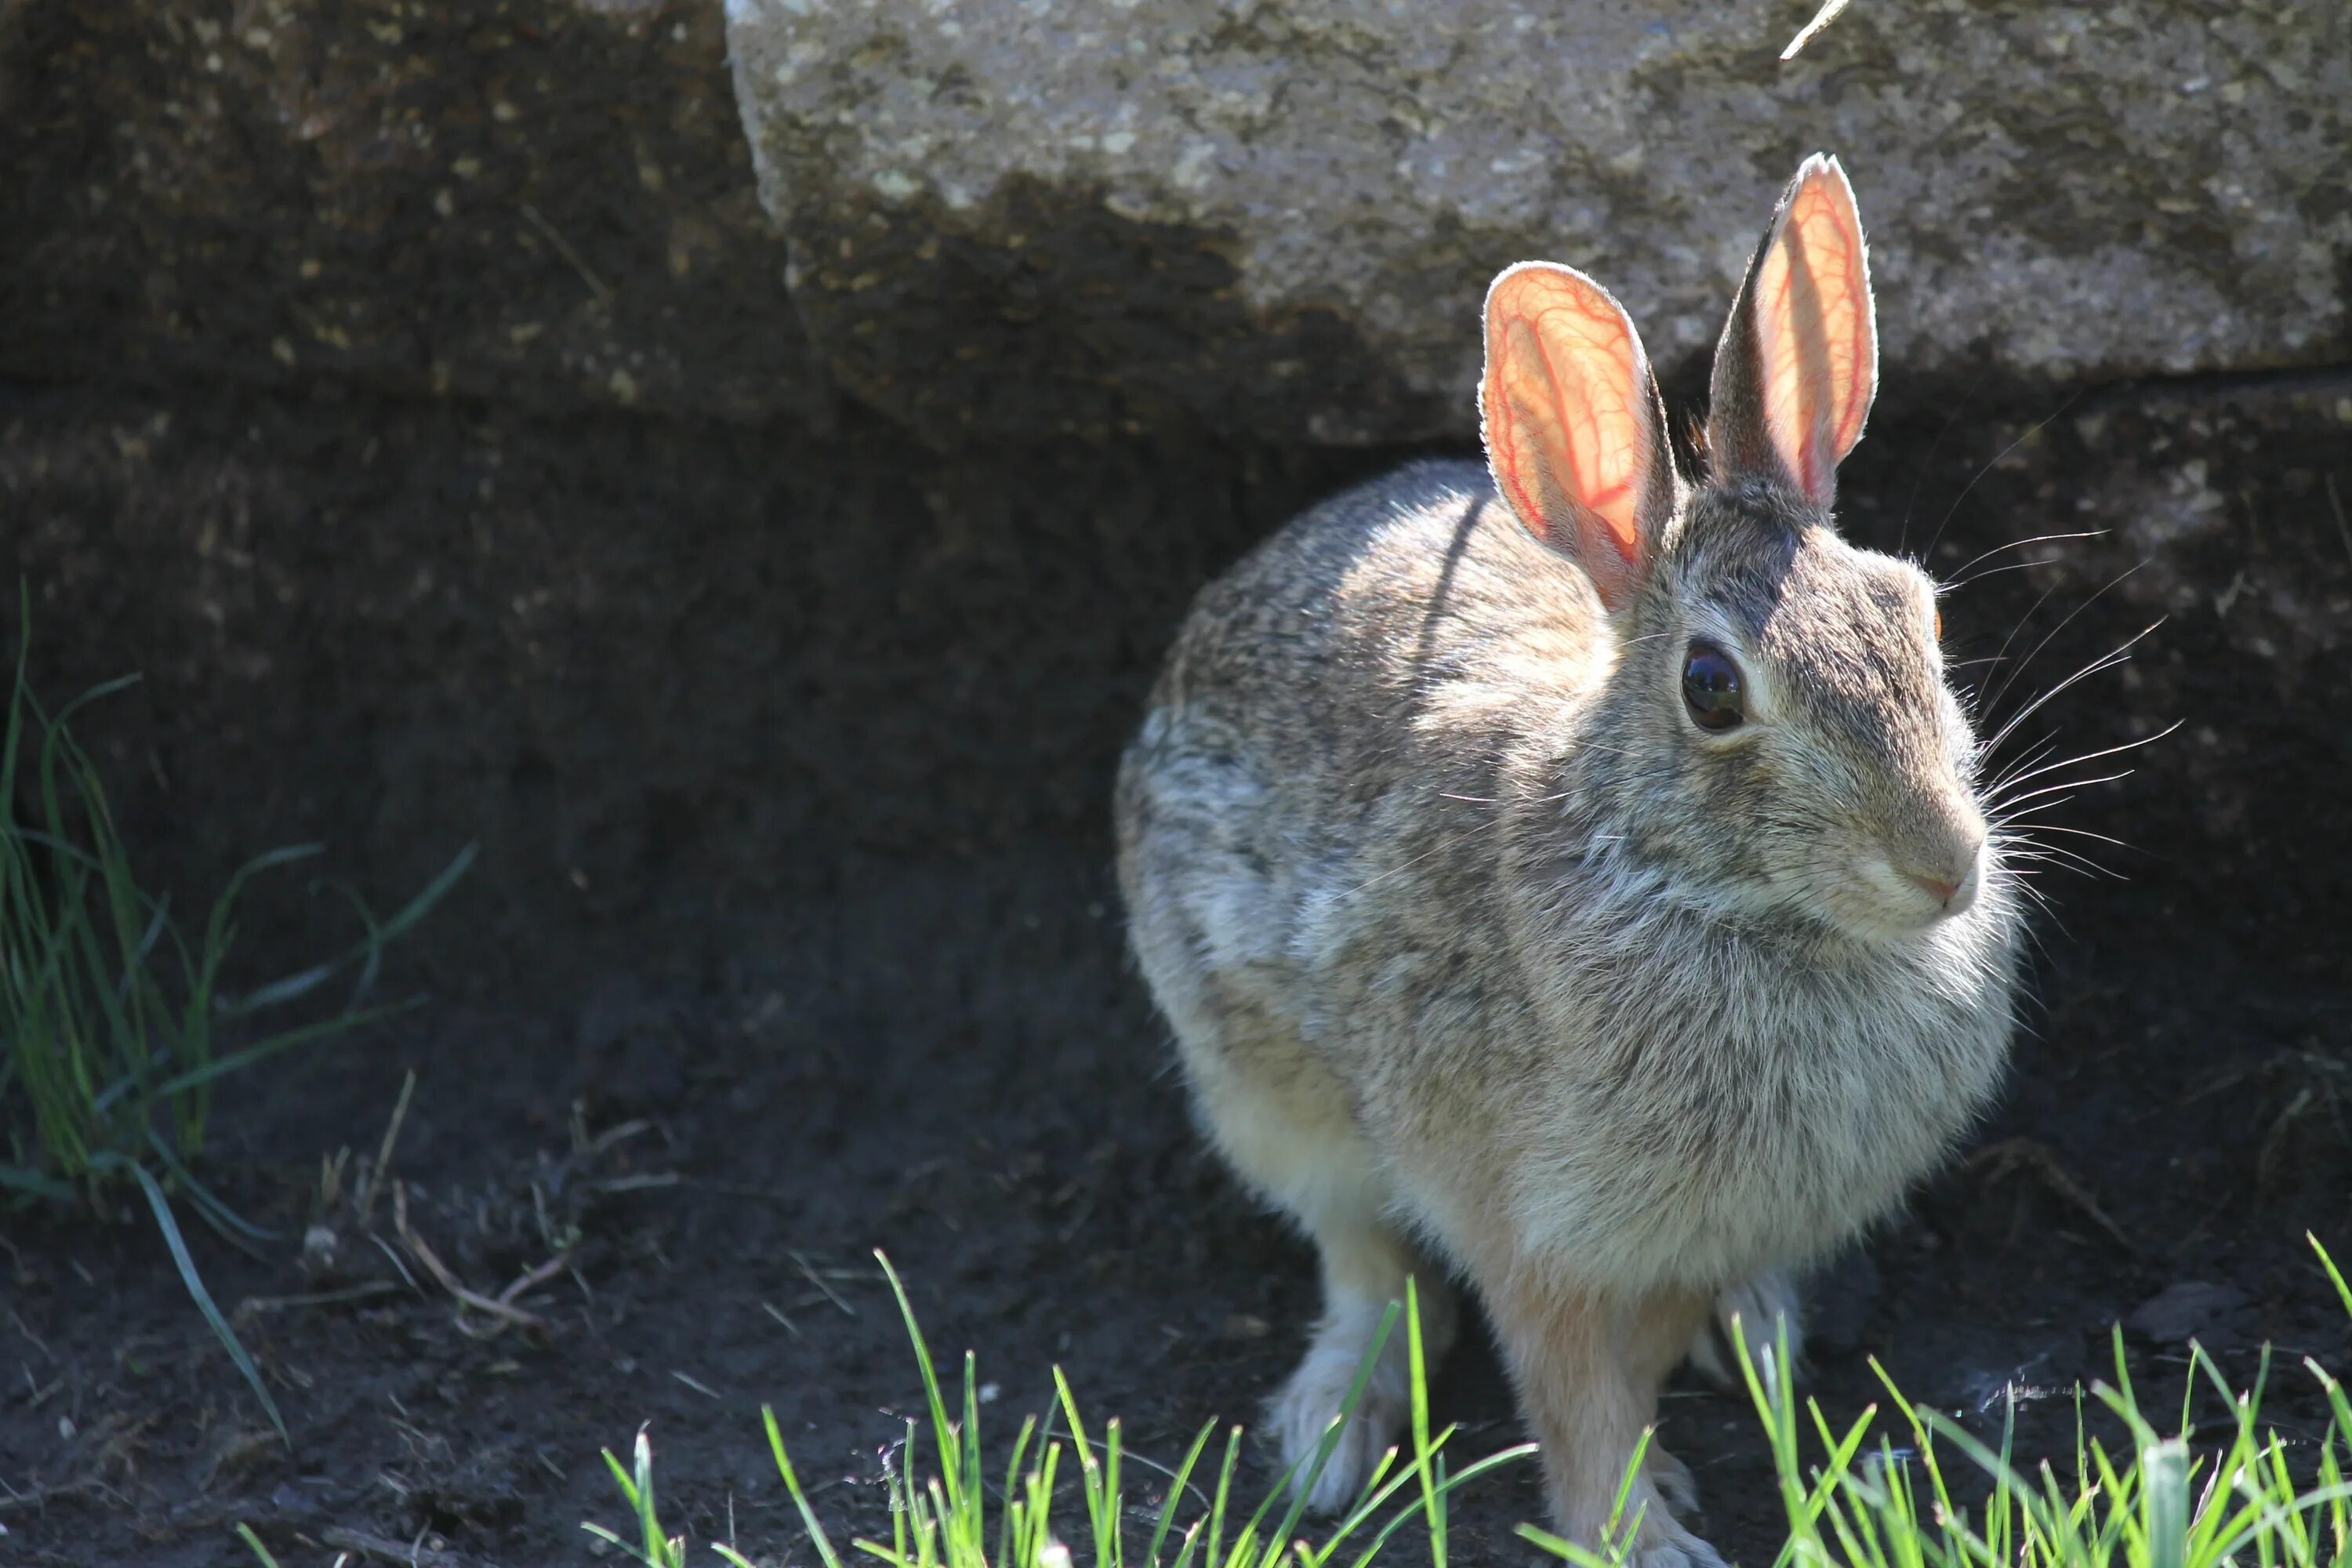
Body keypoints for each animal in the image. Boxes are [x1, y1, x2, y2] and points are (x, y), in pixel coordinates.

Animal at [1115, 156, 2023, 1568]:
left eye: (1916, 612)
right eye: (1712, 689)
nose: (1944, 867)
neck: (1693, 883)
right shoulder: (1527, 1225)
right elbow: (1571, 1390)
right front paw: (1641, 1535)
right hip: (1261, 1086)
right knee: (1363, 1262)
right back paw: (1328, 1436)